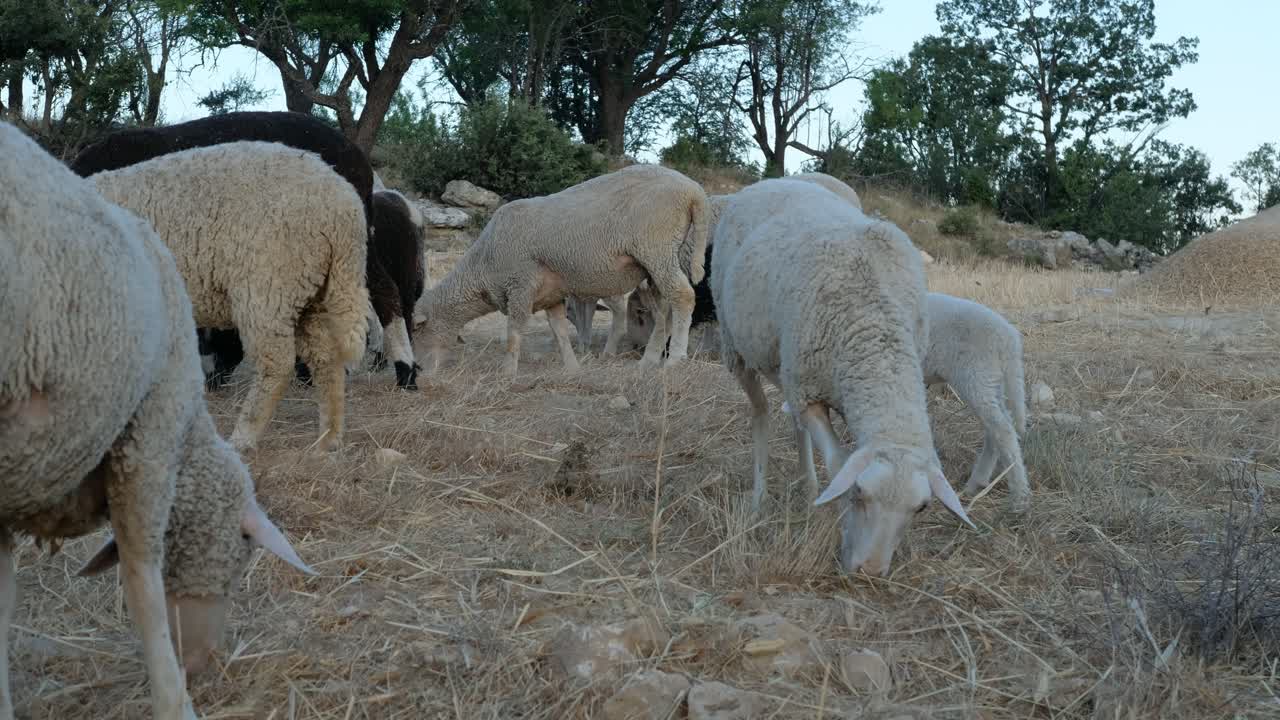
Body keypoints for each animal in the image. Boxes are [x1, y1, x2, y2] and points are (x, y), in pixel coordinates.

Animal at [88, 141, 370, 453]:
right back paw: (328, 440)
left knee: (277, 365)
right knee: (326, 358)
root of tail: (345, 210)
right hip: (313, 291)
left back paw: (244, 437)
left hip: (268, 284)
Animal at [417, 164, 709, 376]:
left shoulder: (520, 285)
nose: (418, 372)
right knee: (664, 311)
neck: (482, 266)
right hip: (655, 264)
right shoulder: (552, 295)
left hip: (656, 247)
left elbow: (514, 332)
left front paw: (507, 372)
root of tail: (694, 190)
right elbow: (559, 331)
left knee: (683, 296)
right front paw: (572, 367)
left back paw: (675, 359)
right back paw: (648, 362)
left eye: (418, 329)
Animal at [711, 178, 972, 577]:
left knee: (794, 422)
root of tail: (776, 180)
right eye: (858, 493)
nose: (870, 572)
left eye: (921, 507)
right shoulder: (811, 393)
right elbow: (837, 462)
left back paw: (809, 489)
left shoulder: (829, 387)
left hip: (787, 364)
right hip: (737, 347)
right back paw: (759, 497)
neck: (876, 331)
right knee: (760, 413)